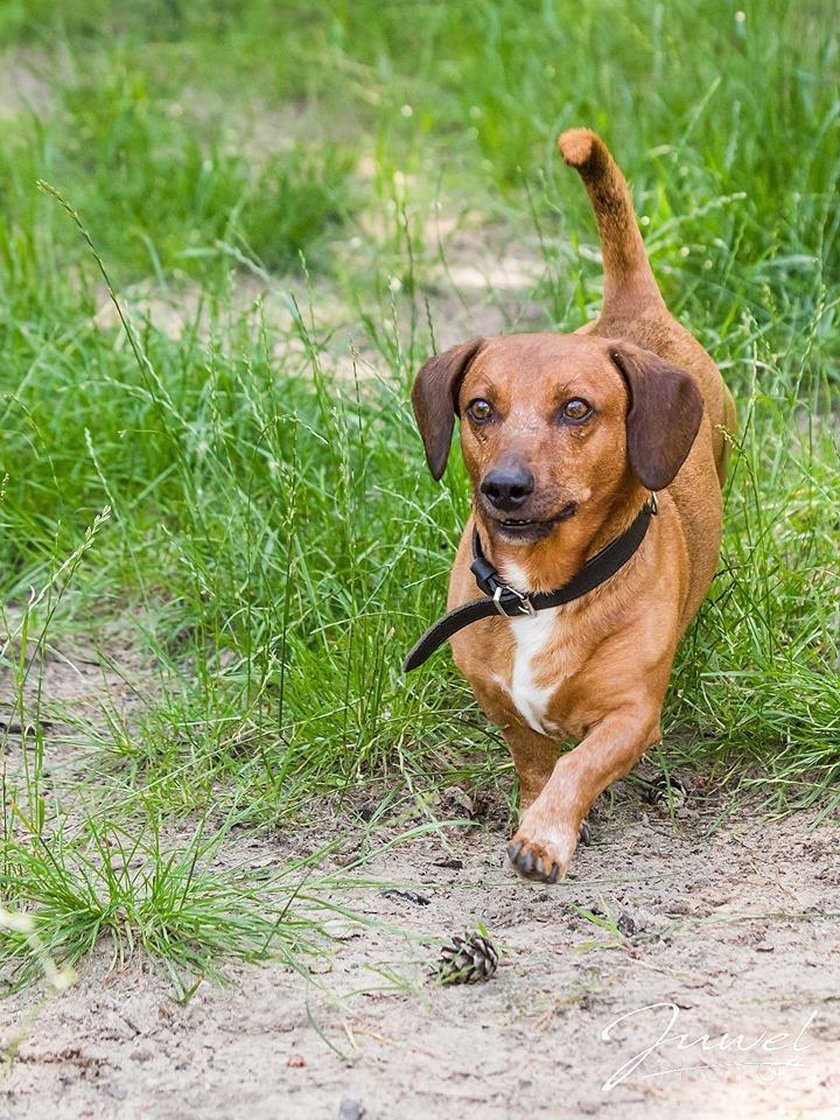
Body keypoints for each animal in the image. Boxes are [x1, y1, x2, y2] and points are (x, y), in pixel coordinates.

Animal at [407, 128, 734, 882]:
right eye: (480, 408)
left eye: (577, 408)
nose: (503, 487)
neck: (540, 589)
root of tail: (631, 310)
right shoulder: (498, 698)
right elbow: (535, 761)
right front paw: (533, 810)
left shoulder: (632, 716)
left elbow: (576, 766)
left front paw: (546, 834)